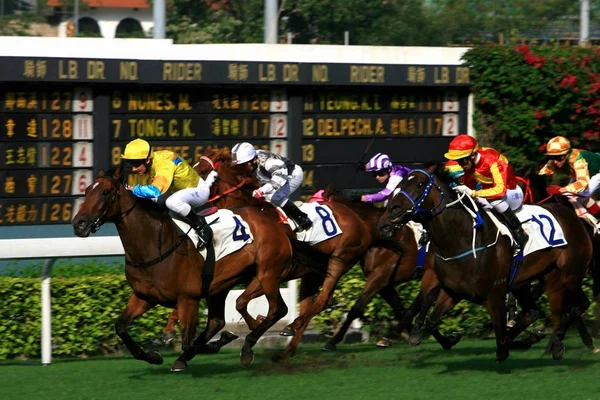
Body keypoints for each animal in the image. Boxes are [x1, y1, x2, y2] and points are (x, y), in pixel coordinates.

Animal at [72, 164, 298, 370]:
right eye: (86, 190)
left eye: (105, 192)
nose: (78, 224)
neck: (155, 245)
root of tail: (273, 222)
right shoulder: (144, 296)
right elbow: (120, 326)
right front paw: (152, 356)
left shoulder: (188, 299)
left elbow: (188, 343)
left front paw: (222, 341)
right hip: (224, 284)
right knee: (221, 318)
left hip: (268, 272)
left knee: (278, 308)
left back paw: (248, 347)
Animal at [380, 164, 596, 360]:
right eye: (399, 184)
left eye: (419, 184)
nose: (388, 217)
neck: (461, 238)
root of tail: (570, 214)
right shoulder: (452, 291)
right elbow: (432, 322)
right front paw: (449, 338)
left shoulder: (494, 295)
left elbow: (501, 341)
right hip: (531, 280)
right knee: (534, 312)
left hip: (569, 275)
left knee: (578, 305)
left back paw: (559, 341)